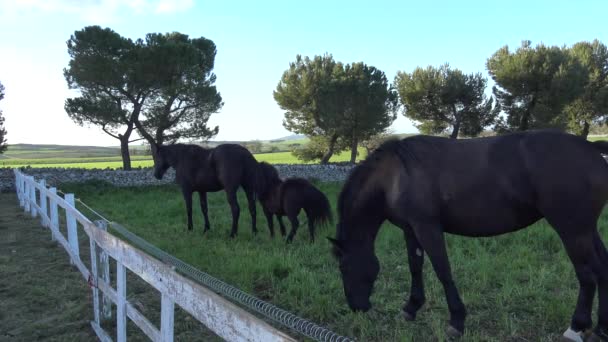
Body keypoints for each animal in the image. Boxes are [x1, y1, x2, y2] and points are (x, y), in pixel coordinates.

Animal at [330, 130, 608, 340]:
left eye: (343, 267)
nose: (357, 307)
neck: (395, 176)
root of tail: (592, 148)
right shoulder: (411, 230)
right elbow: (415, 267)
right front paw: (411, 308)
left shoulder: (427, 228)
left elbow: (443, 270)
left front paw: (456, 320)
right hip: (587, 230)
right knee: (601, 269)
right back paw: (601, 329)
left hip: (572, 231)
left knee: (587, 275)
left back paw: (576, 327)